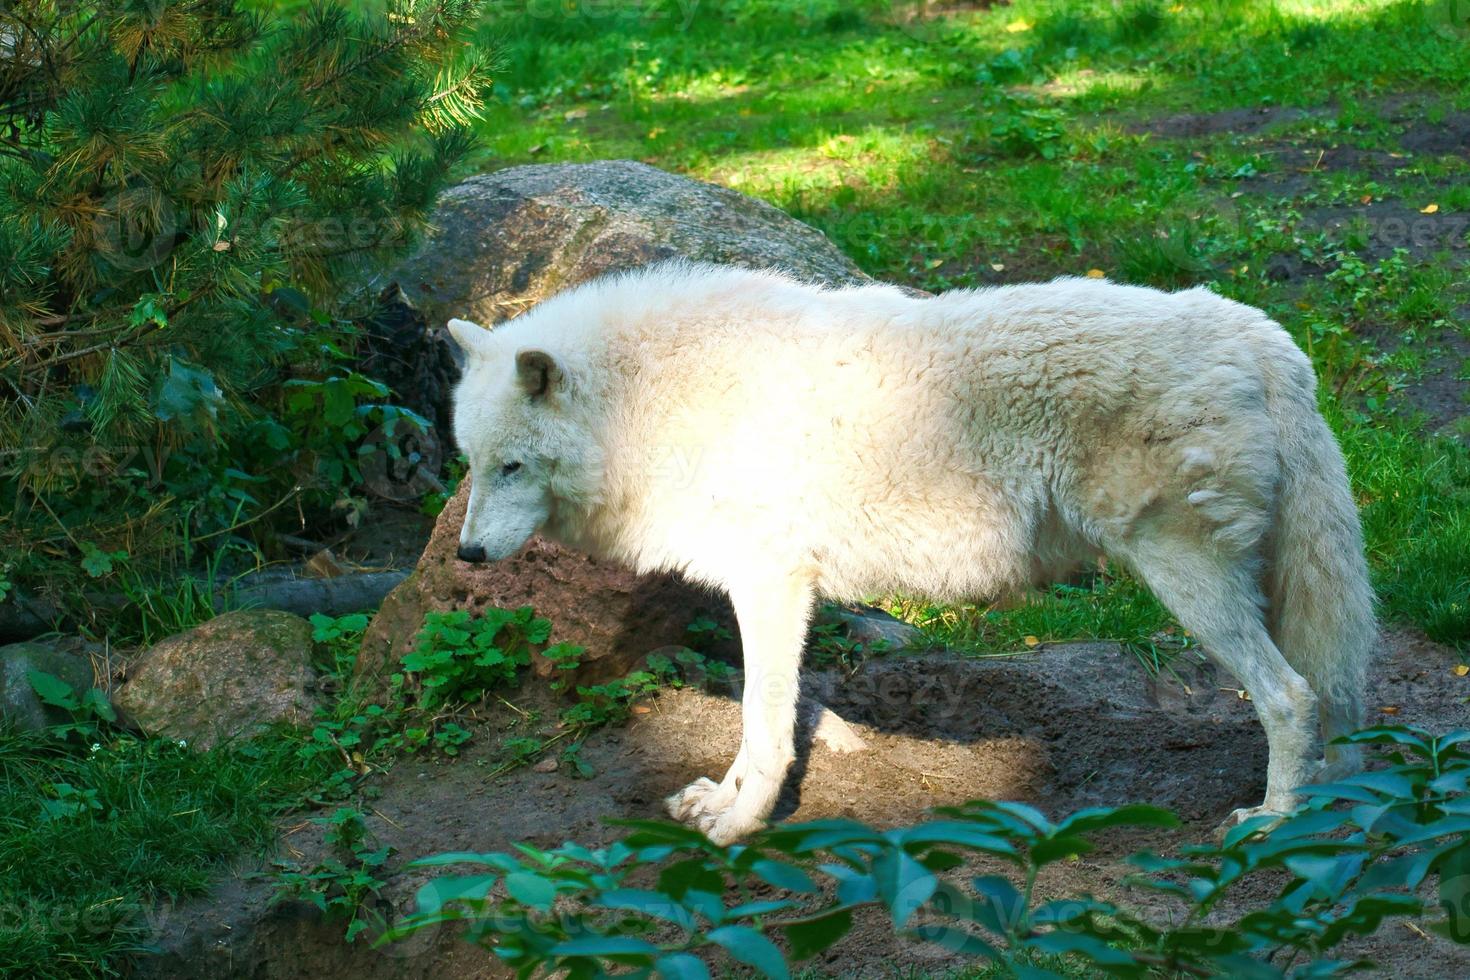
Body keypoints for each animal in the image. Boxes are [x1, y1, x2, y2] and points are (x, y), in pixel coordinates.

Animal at [446, 260, 1375, 846]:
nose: (468, 554)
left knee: (1291, 695)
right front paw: (727, 801)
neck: (646, 406)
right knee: (1316, 693)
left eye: (513, 466)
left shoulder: (771, 583)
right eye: (472, 462)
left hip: (1187, 582)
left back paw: (1274, 823)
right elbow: (763, 719)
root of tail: (1262, 333)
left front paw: (741, 821)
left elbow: (763, 720)